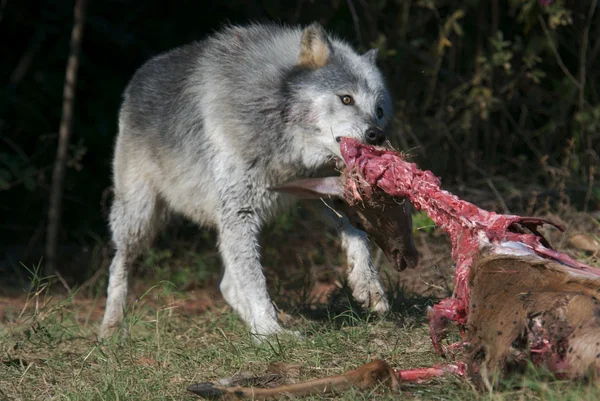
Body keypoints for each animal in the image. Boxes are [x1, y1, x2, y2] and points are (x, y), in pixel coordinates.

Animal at [99, 21, 408, 340]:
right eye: (346, 98)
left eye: (379, 111)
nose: (376, 134)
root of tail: (140, 74)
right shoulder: (239, 211)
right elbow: (255, 281)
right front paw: (272, 333)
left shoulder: (312, 193)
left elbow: (356, 232)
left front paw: (368, 286)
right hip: (142, 217)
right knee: (119, 262)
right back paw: (111, 327)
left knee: (226, 284)